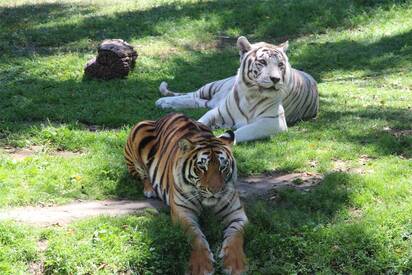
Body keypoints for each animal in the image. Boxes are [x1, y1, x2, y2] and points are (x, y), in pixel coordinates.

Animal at [154, 36, 318, 142]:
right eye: (262, 62)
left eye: (280, 65)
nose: (276, 79)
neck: (251, 95)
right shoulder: (216, 112)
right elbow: (199, 122)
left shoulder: (273, 122)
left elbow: (242, 132)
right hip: (212, 87)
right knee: (192, 95)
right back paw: (162, 101)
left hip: (212, 101)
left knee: (197, 101)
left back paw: (165, 104)